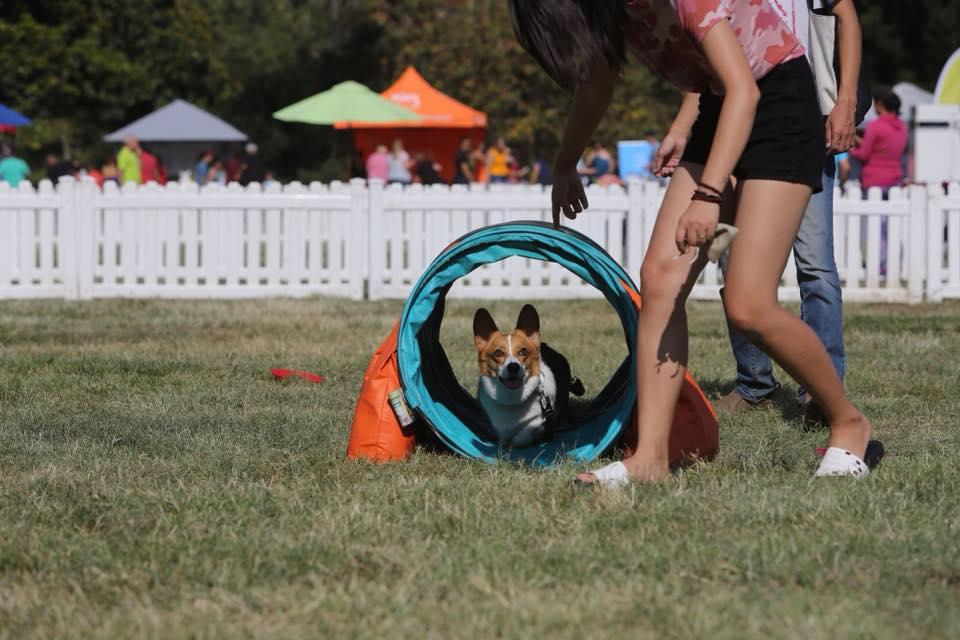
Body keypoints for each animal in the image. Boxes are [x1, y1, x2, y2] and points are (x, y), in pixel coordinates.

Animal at [474, 306, 584, 448]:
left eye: (523, 351)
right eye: (497, 353)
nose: (513, 366)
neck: (512, 398)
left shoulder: (542, 419)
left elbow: (523, 434)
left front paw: (512, 446)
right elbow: (502, 436)